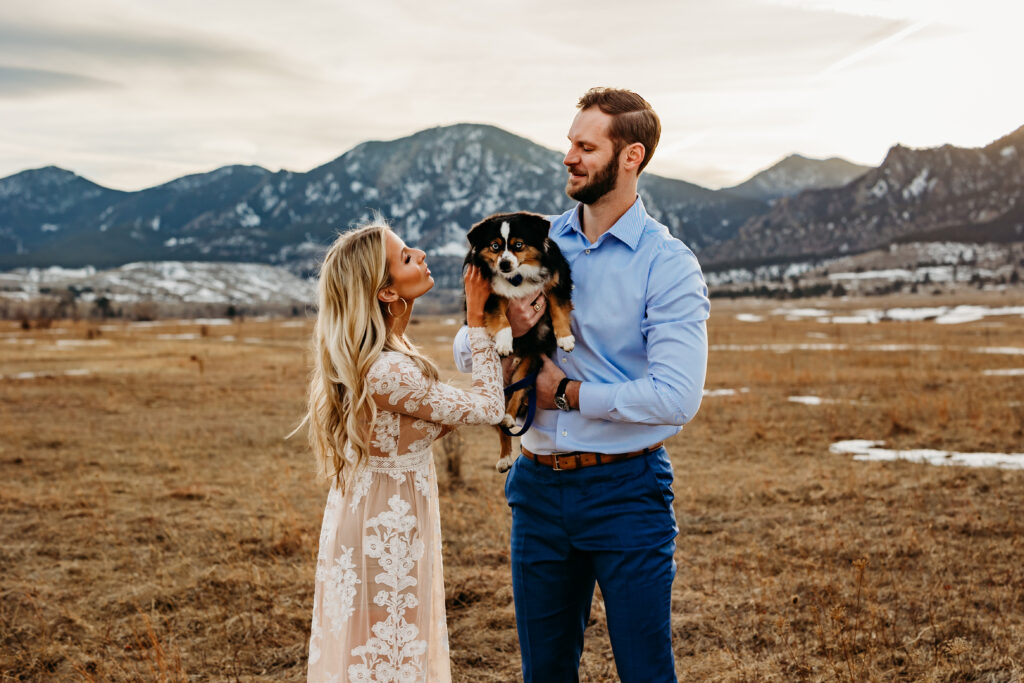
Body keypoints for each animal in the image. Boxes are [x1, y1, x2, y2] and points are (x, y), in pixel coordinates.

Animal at [464, 210, 577, 473]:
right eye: (495, 246)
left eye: (518, 245)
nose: (504, 264)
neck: (516, 277)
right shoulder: (491, 294)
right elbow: (501, 316)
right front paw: (505, 341)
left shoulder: (556, 282)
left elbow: (558, 309)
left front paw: (565, 338)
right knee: (501, 424)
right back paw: (505, 458)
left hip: (530, 363)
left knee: (517, 393)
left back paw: (509, 416)